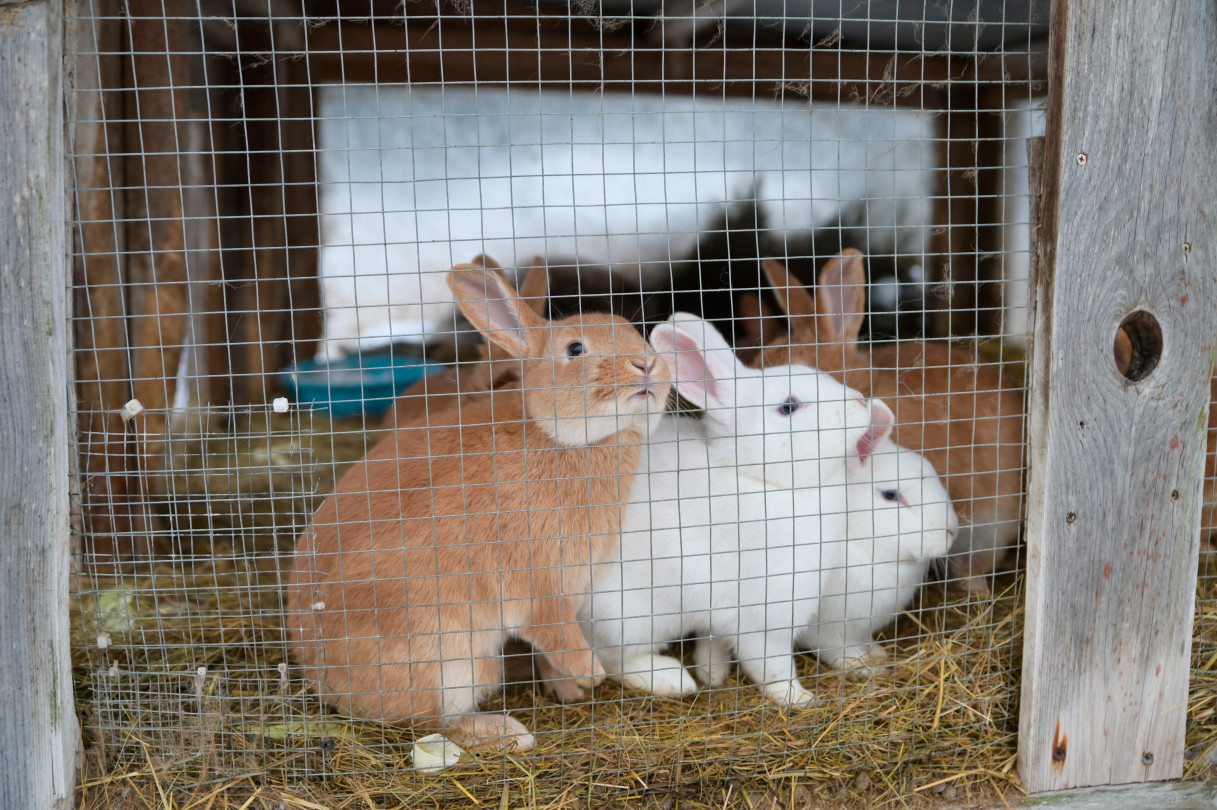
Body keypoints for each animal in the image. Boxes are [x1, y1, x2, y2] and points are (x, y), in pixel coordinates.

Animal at [285, 264, 671, 752]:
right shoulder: (541, 586)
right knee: (431, 722)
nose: (647, 364)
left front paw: (567, 689)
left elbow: (551, 650)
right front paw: (590, 675)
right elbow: (558, 634)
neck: (560, 437)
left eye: (636, 333)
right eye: (575, 349)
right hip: (454, 660)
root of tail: (321, 678)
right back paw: (507, 733)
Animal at [578, 313, 895, 707]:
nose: (860, 402)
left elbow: (713, 641)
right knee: (609, 660)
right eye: (789, 406)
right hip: (630, 617)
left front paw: (713, 672)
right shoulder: (765, 615)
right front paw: (798, 698)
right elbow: (771, 664)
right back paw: (671, 679)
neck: (759, 479)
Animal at [691, 436, 958, 683]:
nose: (952, 529)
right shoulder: (825, 628)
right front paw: (867, 668)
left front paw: (877, 653)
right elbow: (839, 651)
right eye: (891, 494)